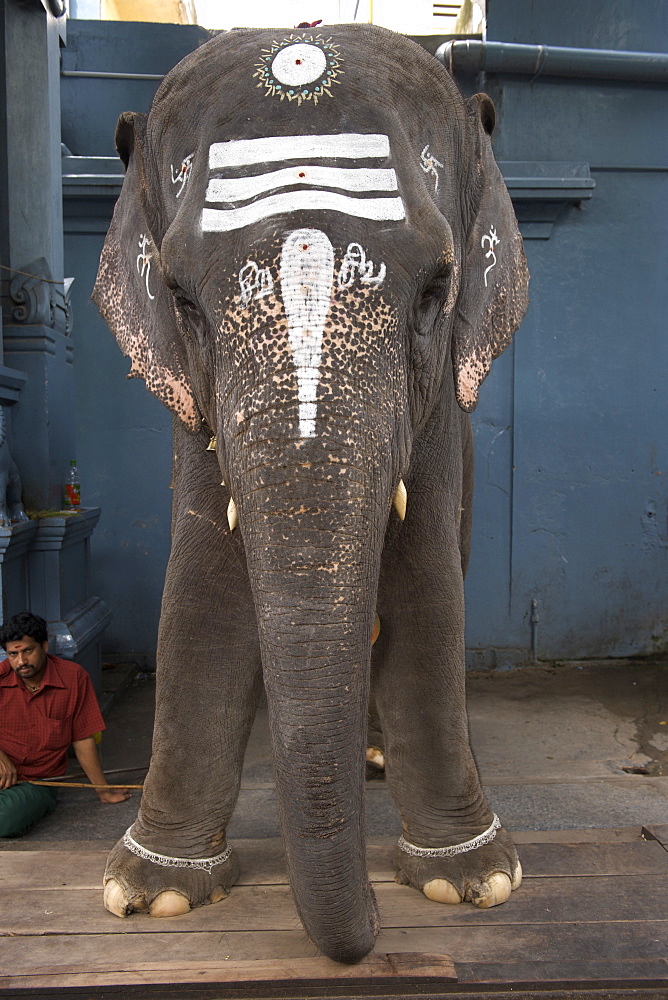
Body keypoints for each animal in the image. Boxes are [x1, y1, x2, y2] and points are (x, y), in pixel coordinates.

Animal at [94, 21, 528, 960]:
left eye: (438, 288)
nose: (369, 936)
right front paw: (151, 894)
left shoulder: (443, 417)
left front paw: (471, 882)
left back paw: (379, 764)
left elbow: (425, 584)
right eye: (180, 298)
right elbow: (202, 587)